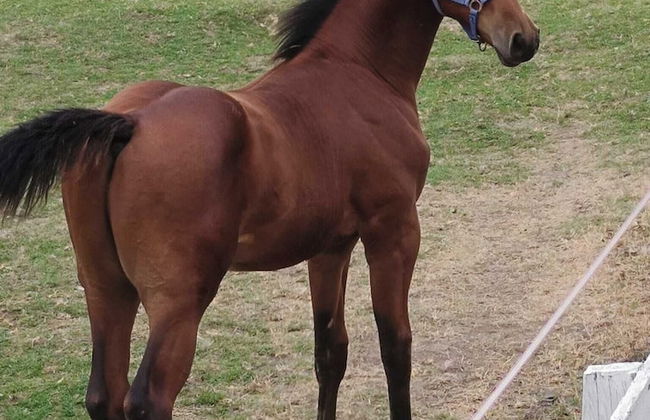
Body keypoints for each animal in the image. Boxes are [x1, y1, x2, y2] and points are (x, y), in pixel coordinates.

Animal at [0, 0, 539, 418]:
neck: (358, 72)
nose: (523, 38)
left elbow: (330, 351)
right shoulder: (395, 231)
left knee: (102, 395)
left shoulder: (330, 249)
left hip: (106, 290)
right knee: (149, 399)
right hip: (177, 303)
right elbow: (395, 346)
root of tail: (127, 124)